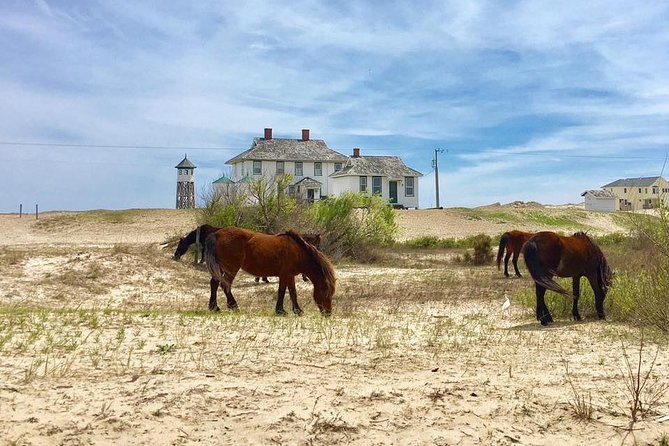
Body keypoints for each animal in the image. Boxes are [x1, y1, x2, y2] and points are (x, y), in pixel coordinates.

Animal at [204, 227, 336, 315]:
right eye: (325, 292)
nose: (328, 313)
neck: (298, 252)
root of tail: (216, 234)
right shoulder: (286, 275)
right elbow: (285, 292)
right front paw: (285, 311)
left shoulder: (288, 276)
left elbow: (290, 292)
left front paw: (292, 310)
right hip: (231, 268)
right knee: (225, 285)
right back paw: (233, 306)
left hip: (221, 268)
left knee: (214, 283)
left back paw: (214, 308)